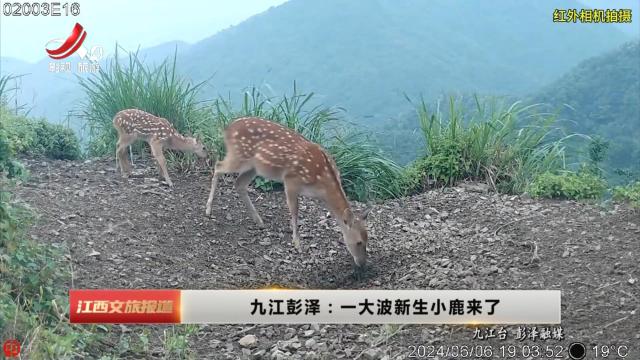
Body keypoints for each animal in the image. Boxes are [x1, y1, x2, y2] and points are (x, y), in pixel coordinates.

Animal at [205, 116, 372, 272]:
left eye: (367, 239)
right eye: (358, 241)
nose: (362, 264)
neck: (322, 184)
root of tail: (227, 129)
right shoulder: (291, 180)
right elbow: (294, 211)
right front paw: (297, 244)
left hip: (254, 166)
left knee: (239, 183)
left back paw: (259, 220)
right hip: (239, 155)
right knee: (218, 166)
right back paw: (208, 209)